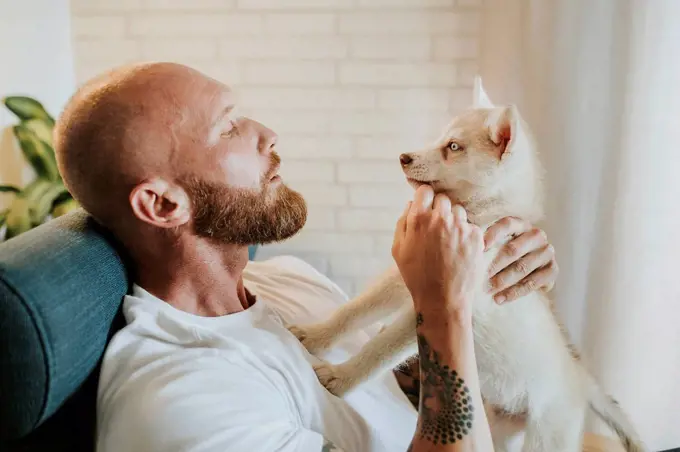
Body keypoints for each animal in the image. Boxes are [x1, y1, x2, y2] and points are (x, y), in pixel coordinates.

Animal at [288, 78, 648, 452]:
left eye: (454, 147)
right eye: (441, 138)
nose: (403, 157)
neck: (477, 217)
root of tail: (579, 379)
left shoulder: (436, 303)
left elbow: (380, 349)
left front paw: (340, 378)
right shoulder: (401, 278)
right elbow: (353, 311)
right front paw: (316, 337)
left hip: (547, 435)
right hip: (500, 425)